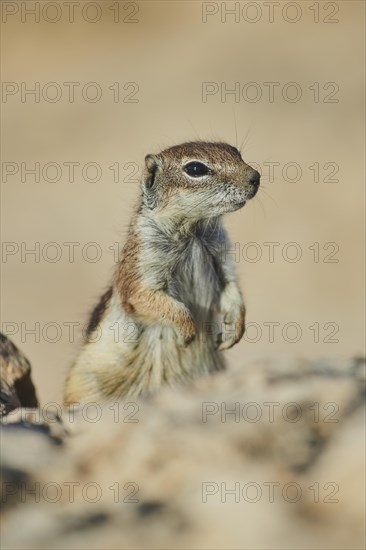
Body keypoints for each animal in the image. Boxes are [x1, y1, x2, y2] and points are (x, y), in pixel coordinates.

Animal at [65, 142, 260, 406]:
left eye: (235, 152)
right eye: (195, 169)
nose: (255, 177)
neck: (193, 233)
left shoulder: (222, 253)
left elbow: (231, 287)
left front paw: (234, 328)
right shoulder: (142, 262)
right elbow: (144, 296)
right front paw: (187, 332)